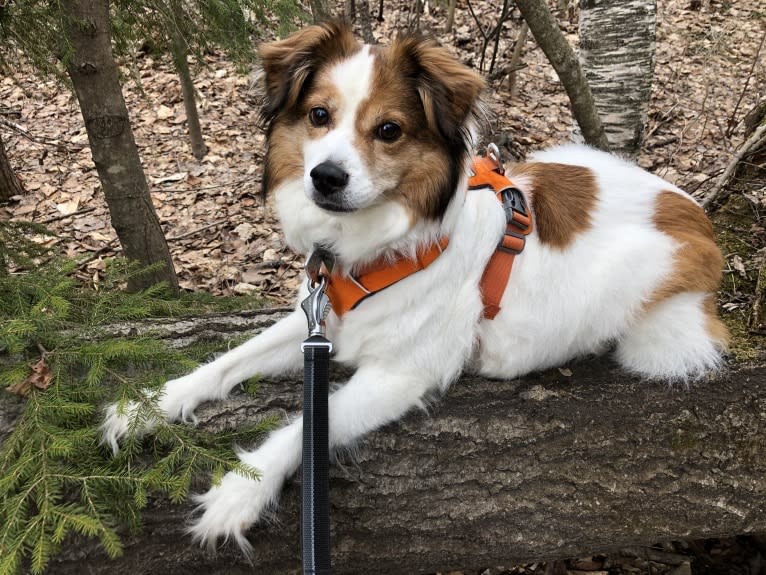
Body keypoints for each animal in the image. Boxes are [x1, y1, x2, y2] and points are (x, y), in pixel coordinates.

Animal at [102, 21, 732, 552]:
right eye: (318, 115)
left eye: (389, 130)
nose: (325, 178)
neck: (377, 249)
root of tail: (697, 216)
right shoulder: (320, 319)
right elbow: (228, 360)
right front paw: (153, 404)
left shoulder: (401, 374)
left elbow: (305, 426)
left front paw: (240, 491)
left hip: (653, 324)